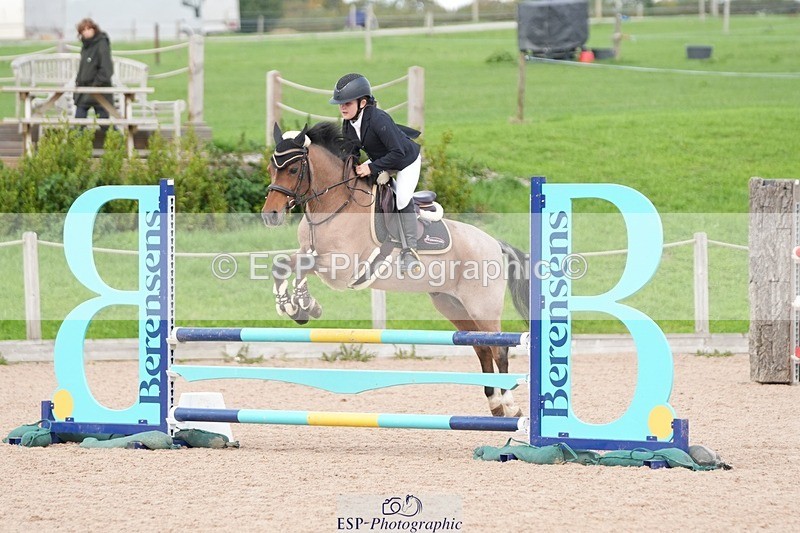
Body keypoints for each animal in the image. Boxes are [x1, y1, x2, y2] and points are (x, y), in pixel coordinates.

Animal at [261, 122, 529, 417]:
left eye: (293, 170)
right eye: (271, 168)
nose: (270, 215)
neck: (335, 206)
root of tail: (494, 243)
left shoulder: (340, 269)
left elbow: (301, 268)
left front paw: (306, 305)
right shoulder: (308, 253)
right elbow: (283, 265)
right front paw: (292, 307)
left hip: (483, 307)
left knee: (498, 349)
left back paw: (511, 405)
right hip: (453, 306)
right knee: (481, 348)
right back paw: (495, 404)